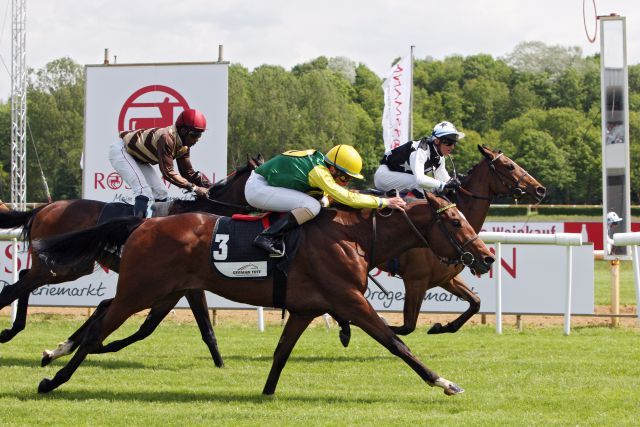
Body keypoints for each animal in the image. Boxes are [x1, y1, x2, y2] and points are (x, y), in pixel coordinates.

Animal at [0, 154, 262, 362]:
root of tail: (44, 208)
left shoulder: (180, 285)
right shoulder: (189, 284)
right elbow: (200, 327)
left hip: (71, 267)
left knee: (23, 276)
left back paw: (16, 330)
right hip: (55, 266)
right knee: (13, 289)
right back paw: (10, 331)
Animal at [33, 192, 496, 396]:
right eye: (454, 222)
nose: (488, 255)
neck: (355, 236)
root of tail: (144, 222)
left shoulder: (306, 308)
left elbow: (281, 353)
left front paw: (267, 393)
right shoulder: (350, 299)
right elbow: (396, 342)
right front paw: (444, 382)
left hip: (164, 290)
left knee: (105, 314)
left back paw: (57, 355)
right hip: (142, 290)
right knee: (99, 328)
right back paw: (53, 377)